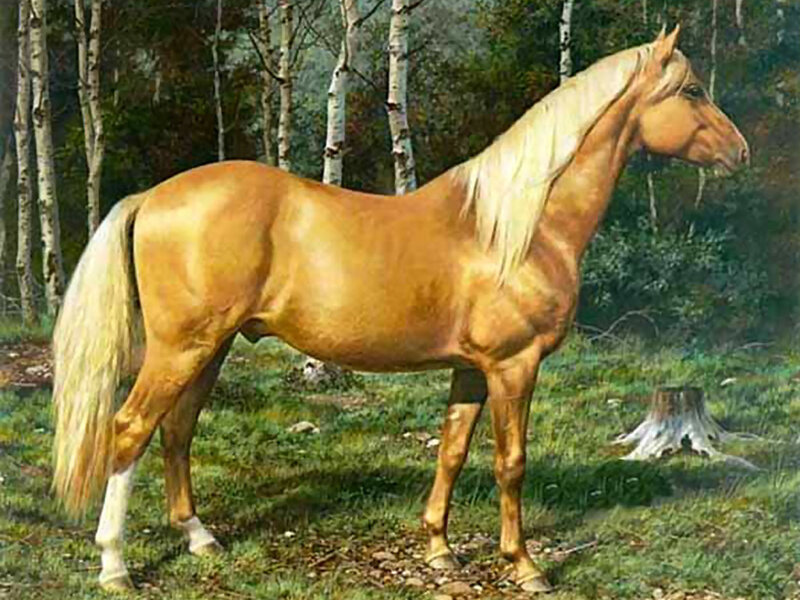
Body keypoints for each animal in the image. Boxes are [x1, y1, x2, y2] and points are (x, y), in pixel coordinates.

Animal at [52, 26, 748, 593]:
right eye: (691, 90)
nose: (740, 153)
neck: (518, 227)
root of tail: (151, 195)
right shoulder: (514, 366)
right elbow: (511, 464)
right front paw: (524, 566)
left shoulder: (472, 369)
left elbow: (452, 451)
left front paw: (440, 549)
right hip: (181, 348)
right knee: (129, 429)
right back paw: (114, 565)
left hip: (211, 348)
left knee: (176, 431)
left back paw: (200, 538)